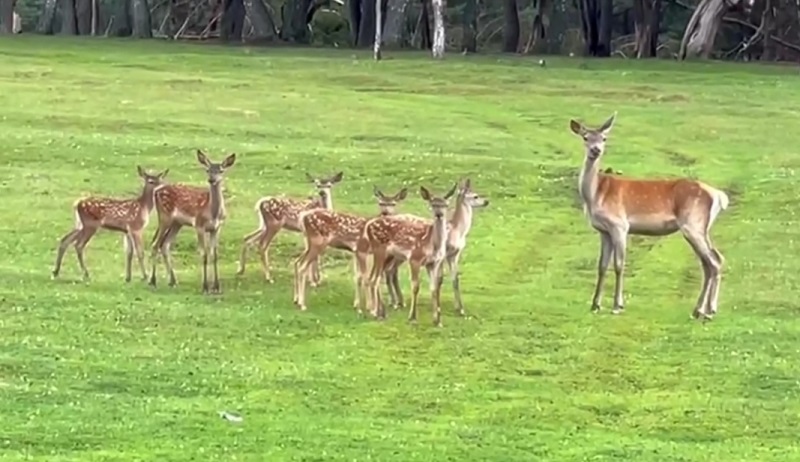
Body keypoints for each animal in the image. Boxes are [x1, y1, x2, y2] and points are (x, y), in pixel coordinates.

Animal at [148, 150, 236, 294]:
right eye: (207, 170)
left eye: (221, 170)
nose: (212, 180)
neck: (213, 213)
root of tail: (156, 191)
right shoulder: (199, 225)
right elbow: (204, 254)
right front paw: (205, 287)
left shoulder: (217, 228)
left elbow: (215, 255)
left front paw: (217, 287)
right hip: (165, 217)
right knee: (155, 244)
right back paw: (152, 281)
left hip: (177, 223)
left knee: (165, 244)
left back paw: (173, 281)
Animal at [360, 183, 456, 324]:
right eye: (432, 204)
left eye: (446, 205)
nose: (439, 214)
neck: (431, 244)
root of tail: (368, 225)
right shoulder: (414, 258)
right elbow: (415, 286)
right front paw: (413, 317)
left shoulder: (434, 263)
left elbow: (434, 288)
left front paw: (437, 320)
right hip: (379, 251)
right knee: (374, 279)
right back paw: (376, 313)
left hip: (388, 256)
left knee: (375, 276)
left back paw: (380, 312)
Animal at [382, 177, 488, 314]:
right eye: (476, 196)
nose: (486, 201)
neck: (457, 230)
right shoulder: (443, 253)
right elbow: (440, 279)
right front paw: (439, 306)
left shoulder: (455, 254)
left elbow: (455, 279)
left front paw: (460, 308)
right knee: (388, 270)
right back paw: (394, 302)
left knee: (390, 270)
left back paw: (397, 302)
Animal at [568, 113, 732, 320]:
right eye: (586, 137)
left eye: (604, 138)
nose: (595, 150)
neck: (595, 195)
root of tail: (718, 195)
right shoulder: (603, 230)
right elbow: (602, 265)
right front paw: (595, 305)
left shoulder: (620, 225)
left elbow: (619, 264)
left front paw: (617, 305)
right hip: (702, 227)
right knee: (712, 261)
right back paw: (700, 310)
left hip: (692, 224)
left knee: (713, 261)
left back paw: (709, 311)